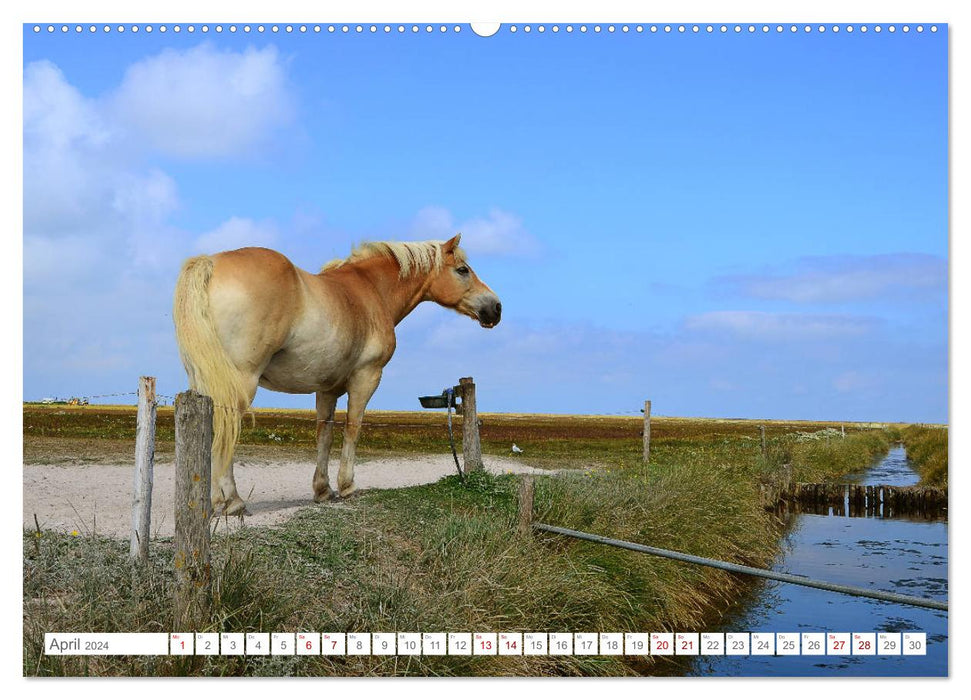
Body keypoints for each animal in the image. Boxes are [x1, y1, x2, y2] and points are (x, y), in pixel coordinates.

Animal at [172, 235, 502, 516]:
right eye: (462, 270)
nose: (495, 308)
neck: (371, 290)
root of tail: (211, 263)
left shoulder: (326, 389)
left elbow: (325, 433)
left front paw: (322, 489)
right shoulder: (366, 378)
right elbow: (353, 427)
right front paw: (346, 486)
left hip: (205, 382)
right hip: (239, 383)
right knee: (226, 428)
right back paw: (232, 501)